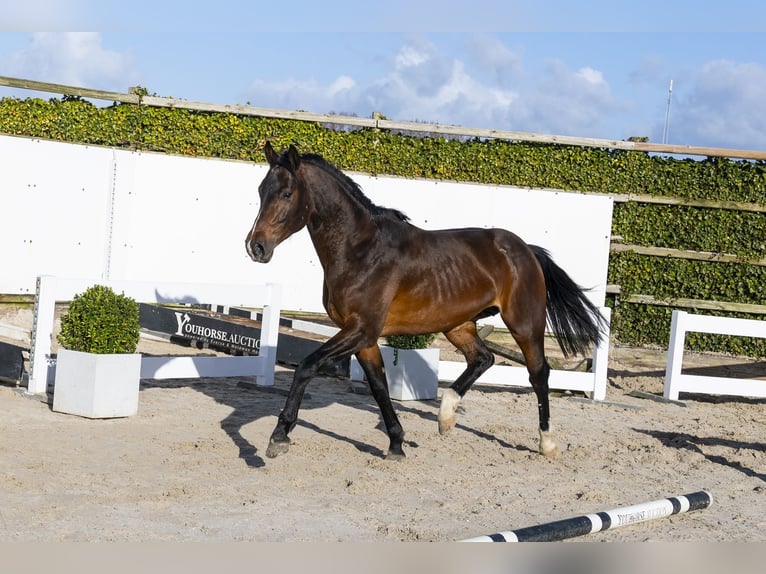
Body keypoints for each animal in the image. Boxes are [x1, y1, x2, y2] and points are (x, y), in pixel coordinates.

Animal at [246, 142, 607, 460]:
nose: (255, 247)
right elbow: (379, 385)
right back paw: (446, 417)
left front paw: (279, 436)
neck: (360, 250)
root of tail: (526, 249)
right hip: (458, 325)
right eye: (261, 191)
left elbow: (307, 366)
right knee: (483, 359)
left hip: (524, 323)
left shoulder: (360, 329)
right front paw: (396, 444)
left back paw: (547, 443)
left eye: (286, 194)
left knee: (538, 374)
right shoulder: (364, 337)